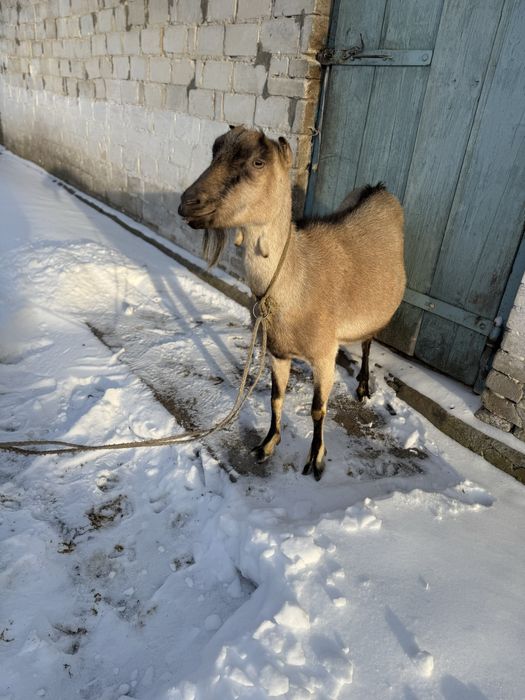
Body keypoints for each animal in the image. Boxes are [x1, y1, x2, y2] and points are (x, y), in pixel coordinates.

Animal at [178, 126, 406, 480]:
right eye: (214, 151)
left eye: (258, 161)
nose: (188, 203)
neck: (295, 283)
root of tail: (378, 189)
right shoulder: (278, 351)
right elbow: (276, 397)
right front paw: (267, 444)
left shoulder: (324, 354)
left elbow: (318, 409)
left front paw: (316, 460)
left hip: (378, 310)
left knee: (369, 340)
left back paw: (363, 387)